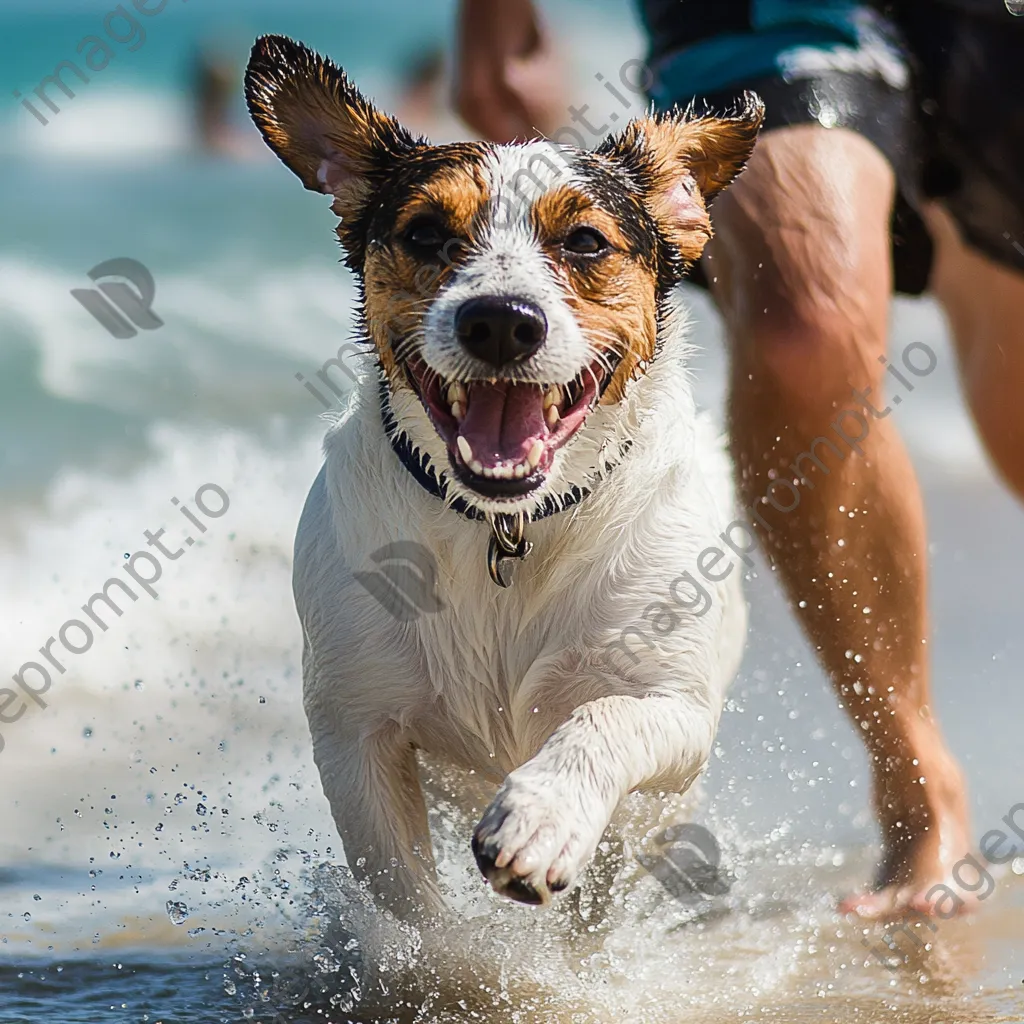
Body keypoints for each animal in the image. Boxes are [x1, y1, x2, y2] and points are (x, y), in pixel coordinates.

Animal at [245, 36, 761, 921]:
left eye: (585, 242)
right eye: (424, 232)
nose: (499, 322)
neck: (509, 526)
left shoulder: (678, 706)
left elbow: (604, 718)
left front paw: (543, 817)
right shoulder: (354, 727)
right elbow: (408, 904)